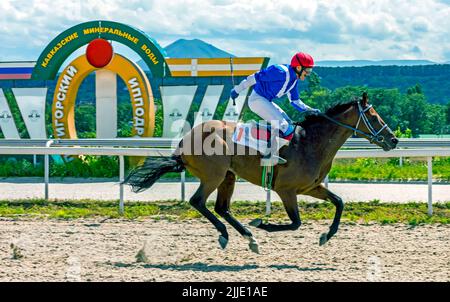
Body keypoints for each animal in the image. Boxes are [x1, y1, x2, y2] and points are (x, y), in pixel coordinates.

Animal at [125, 92, 398, 252]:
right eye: (374, 116)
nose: (393, 139)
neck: (311, 142)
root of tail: (185, 140)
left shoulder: (311, 187)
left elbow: (339, 202)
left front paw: (326, 235)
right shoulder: (286, 190)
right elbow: (296, 223)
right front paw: (262, 223)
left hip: (228, 176)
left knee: (221, 207)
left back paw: (248, 238)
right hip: (214, 175)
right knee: (198, 201)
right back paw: (230, 234)